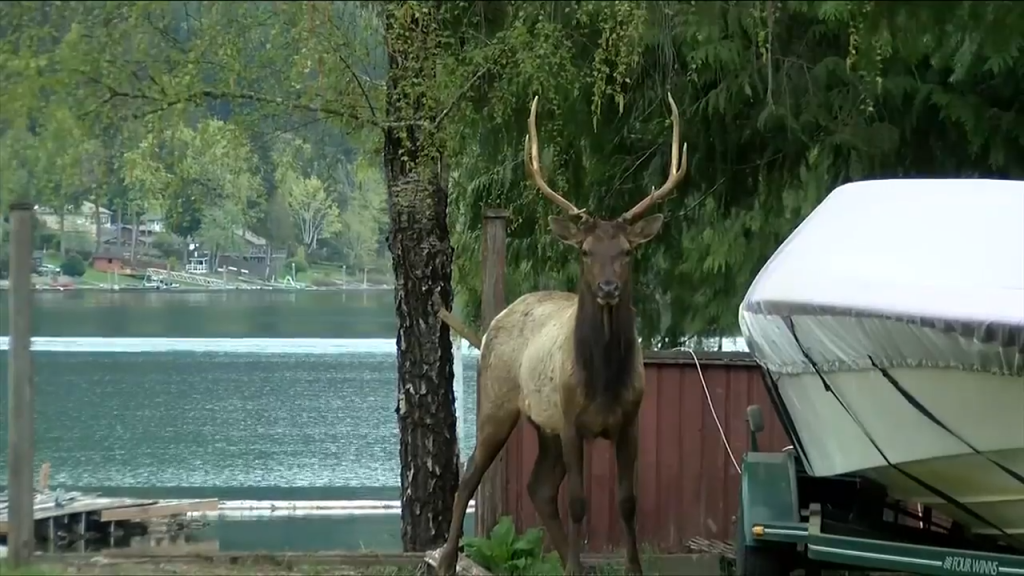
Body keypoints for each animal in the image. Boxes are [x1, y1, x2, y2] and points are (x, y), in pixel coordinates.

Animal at [438, 91, 688, 569]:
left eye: (627, 251)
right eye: (586, 250)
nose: (608, 288)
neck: (604, 380)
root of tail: (494, 322)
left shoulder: (630, 421)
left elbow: (628, 502)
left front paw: (630, 568)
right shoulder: (572, 420)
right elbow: (578, 501)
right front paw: (573, 565)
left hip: (544, 425)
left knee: (538, 487)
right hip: (498, 403)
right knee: (470, 477)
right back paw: (444, 562)